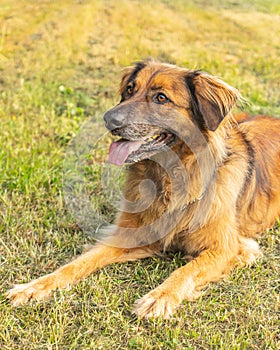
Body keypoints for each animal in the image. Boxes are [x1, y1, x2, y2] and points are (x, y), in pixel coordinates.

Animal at [7, 60, 280, 320]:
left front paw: (159, 297)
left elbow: (186, 270)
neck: (168, 178)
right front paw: (34, 286)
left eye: (161, 98)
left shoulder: (228, 248)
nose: (108, 119)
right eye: (130, 90)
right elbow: (77, 263)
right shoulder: (130, 235)